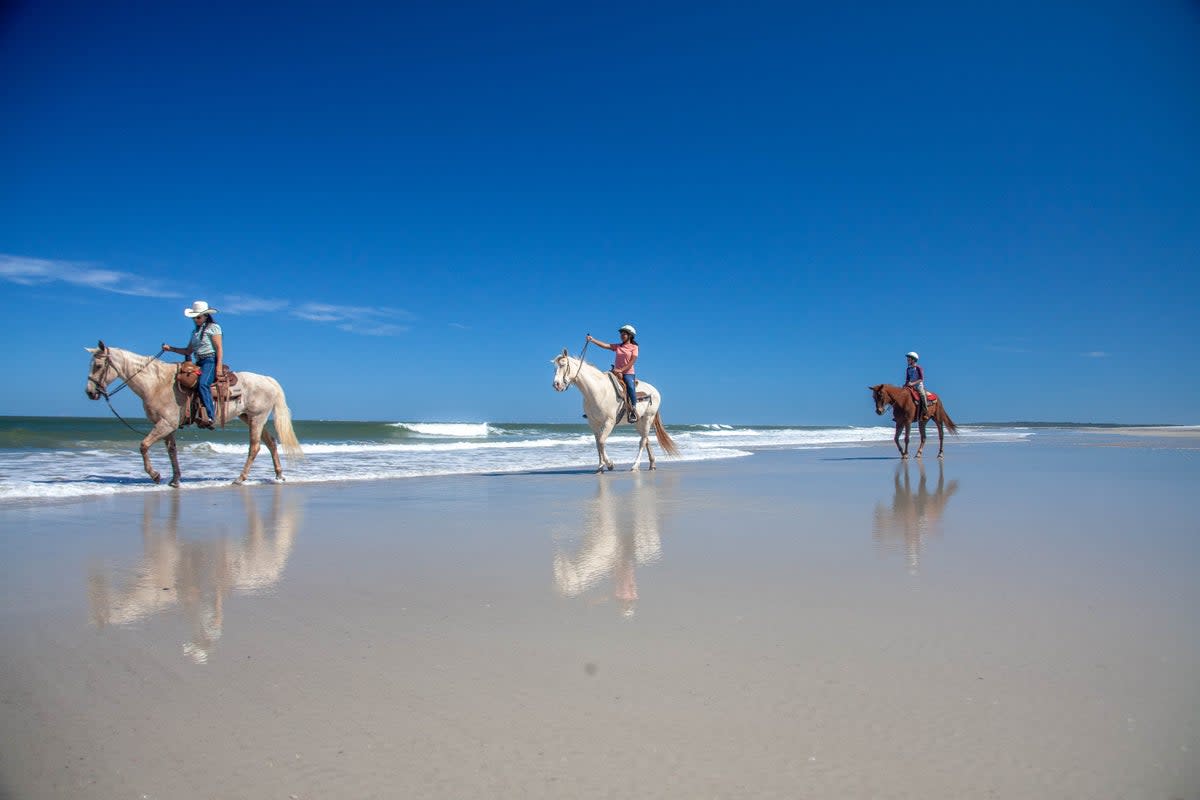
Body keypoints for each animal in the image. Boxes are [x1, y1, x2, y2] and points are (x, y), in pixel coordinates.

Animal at [85, 340, 304, 484]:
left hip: (257, 418)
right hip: (249, 417)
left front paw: (155, 475)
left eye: (98, 365)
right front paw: (175, 479)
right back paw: (279, 475)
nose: (89, 392)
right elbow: (172, 451)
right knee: (271, 443)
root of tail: (268, 380)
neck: (157, 384)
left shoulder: (165, 423)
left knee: (255, 447)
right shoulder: (167, 426)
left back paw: (240, 478)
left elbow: (144, 445)